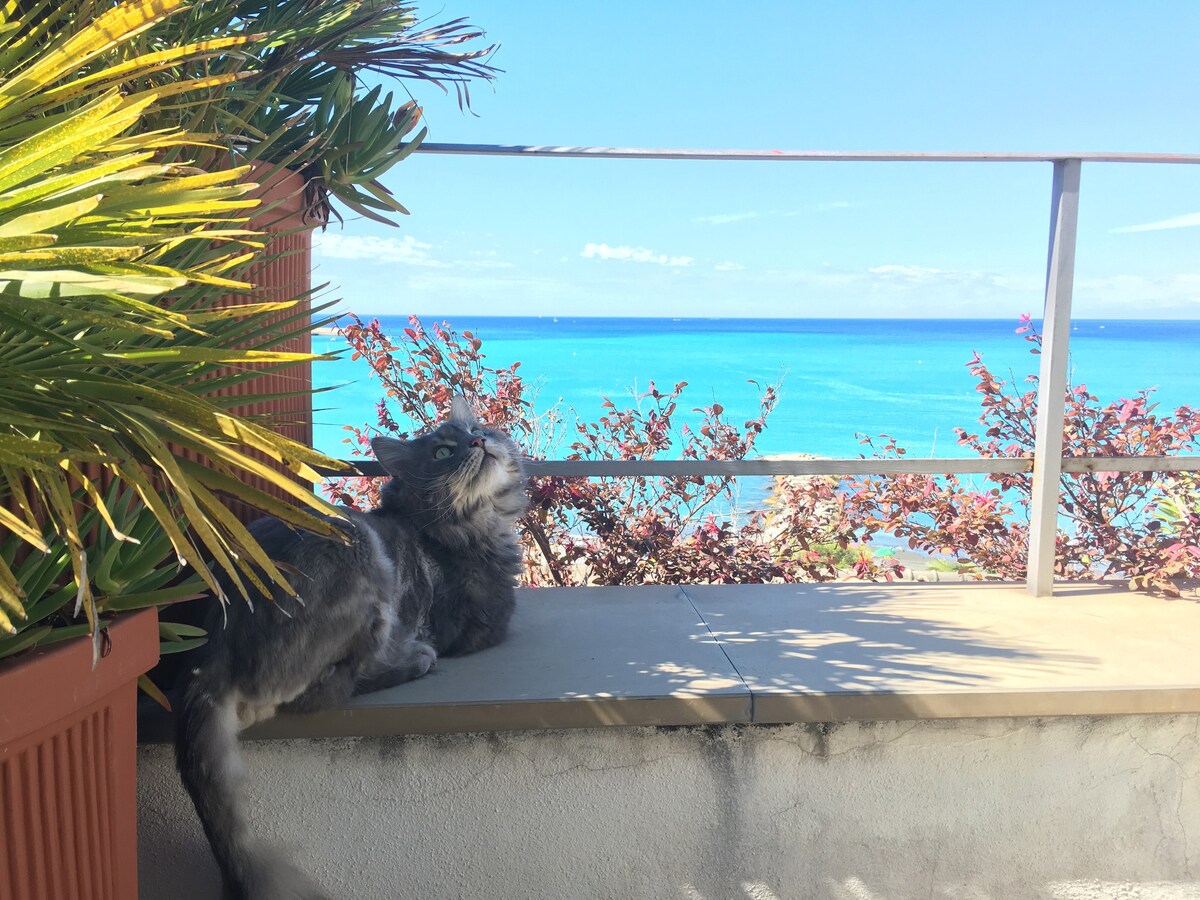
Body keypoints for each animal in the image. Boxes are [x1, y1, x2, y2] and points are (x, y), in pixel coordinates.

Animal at [175, 400, 525, 900]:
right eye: (442, 451)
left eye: (477, 428)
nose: (479, 440)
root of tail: (207, 659)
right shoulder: (482, 621)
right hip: (364, 570)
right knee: (329, 689)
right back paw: (414, 660)